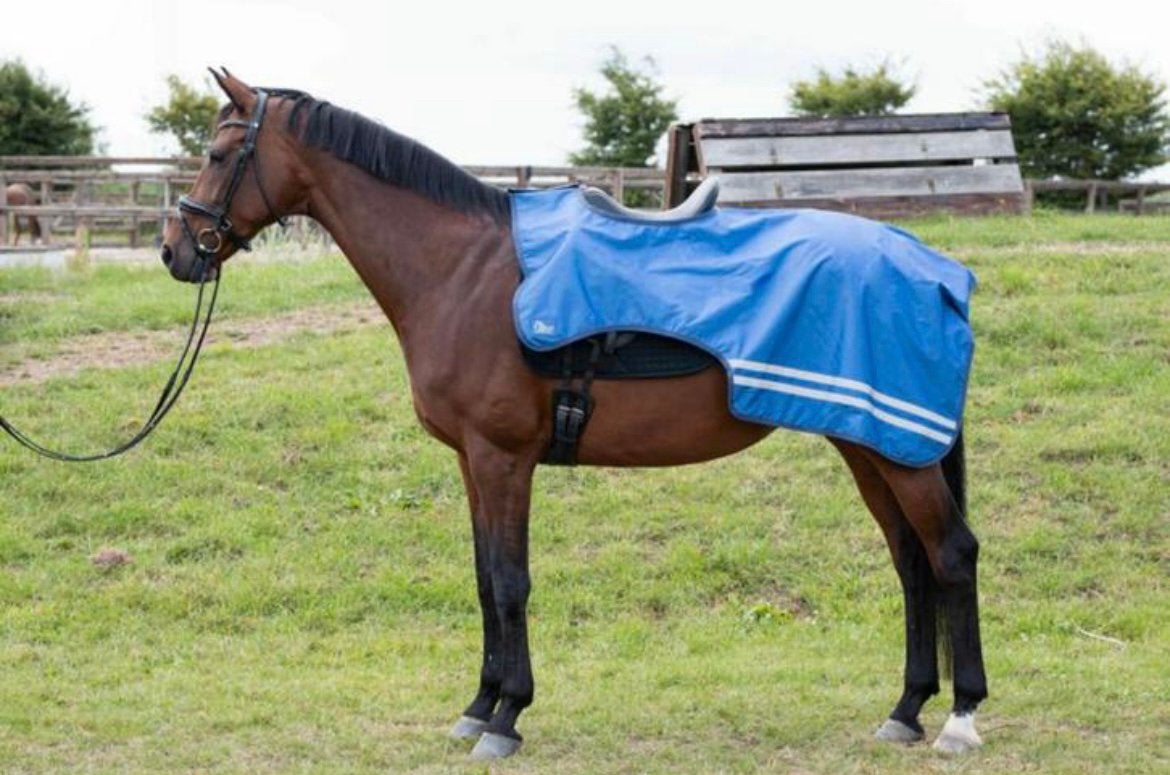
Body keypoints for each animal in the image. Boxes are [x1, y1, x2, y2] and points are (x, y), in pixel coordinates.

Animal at [159, 69, 988, 761]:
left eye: (219, 152)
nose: (176, 251)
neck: (462, 273)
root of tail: (937, 272)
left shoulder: (503, 457)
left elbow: (510, 581)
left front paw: (505, 718)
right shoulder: (471, 461)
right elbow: (483, 578)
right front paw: (477, 705)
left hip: (900, 450)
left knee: (950, 553)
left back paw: (959, 716)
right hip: (868, 443)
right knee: (911, 560)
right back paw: (906, 709)